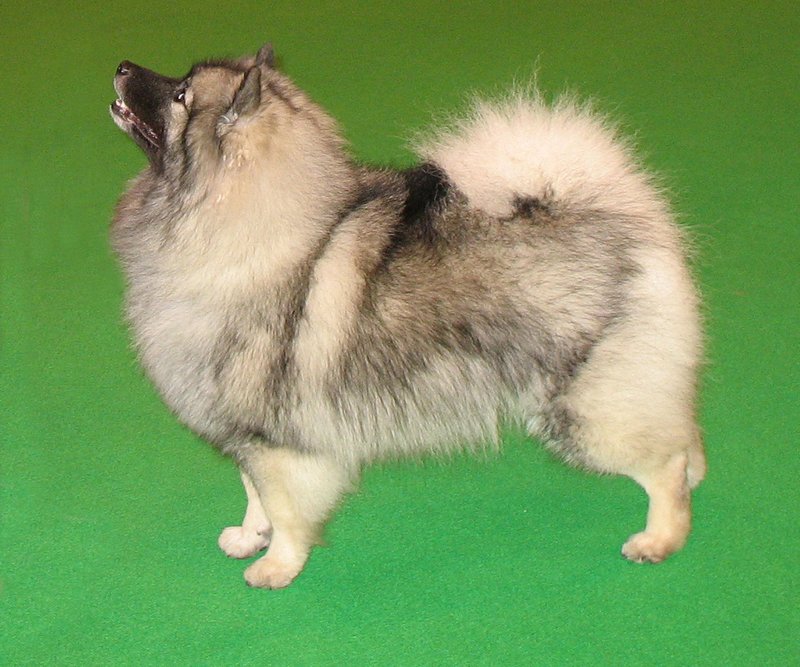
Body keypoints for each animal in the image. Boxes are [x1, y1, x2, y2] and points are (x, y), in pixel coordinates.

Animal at [110, 44, 705, 588]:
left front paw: (277, 565)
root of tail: (619, 215)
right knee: (681, 431)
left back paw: (660, 538)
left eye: (182, 94)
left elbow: (284, 508)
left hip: (583, 414)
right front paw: (249, 536)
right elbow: (253, 491)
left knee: (664, 465)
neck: (252, 243)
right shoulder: (249, 437)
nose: (120, 66)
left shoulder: (282, 445)